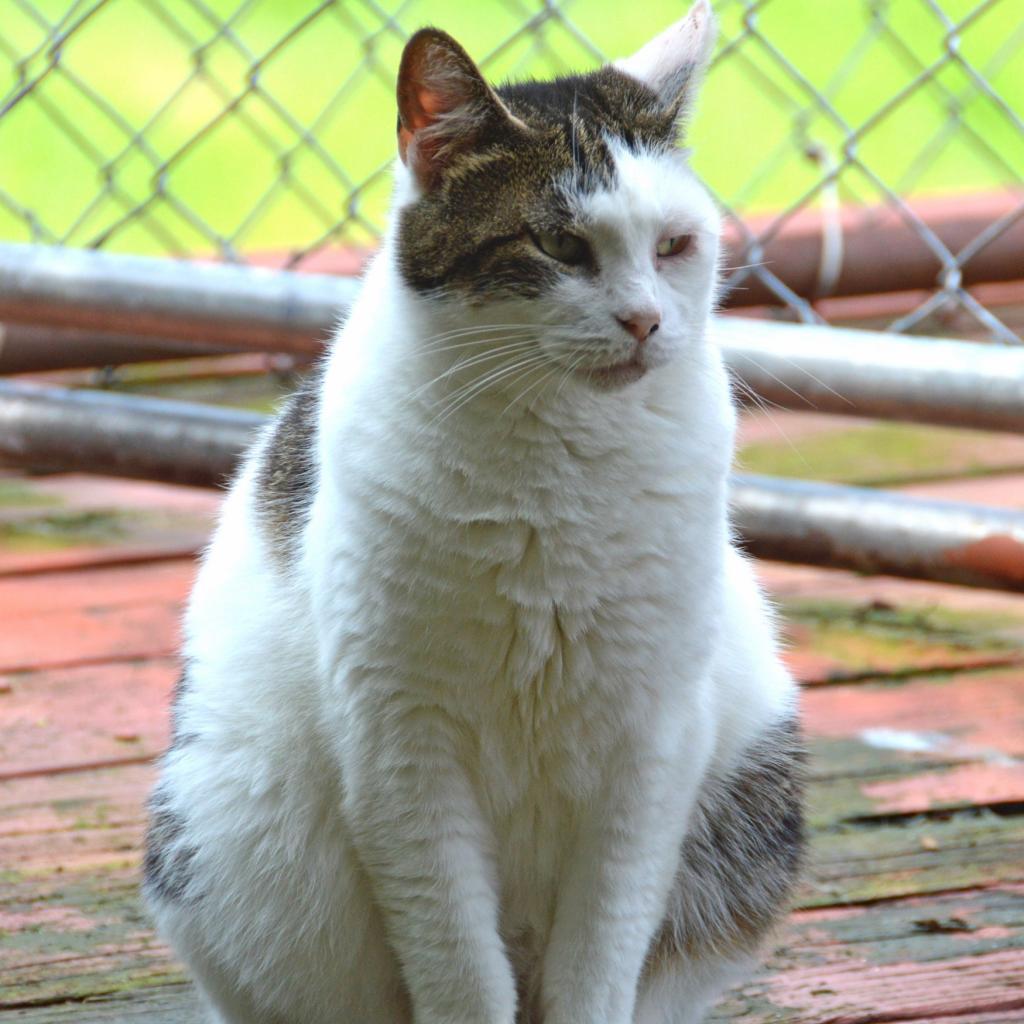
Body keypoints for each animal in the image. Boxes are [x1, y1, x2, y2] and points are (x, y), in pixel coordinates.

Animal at [142, 4, 806, 1019]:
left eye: (674, 246)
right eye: (561, 247)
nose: (647, 321)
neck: (557, 462)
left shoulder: (652, 746)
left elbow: (600, 960)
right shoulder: (400, 748)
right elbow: (458, 965)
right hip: (231, 828)